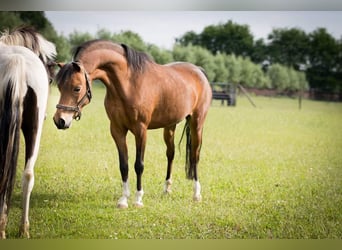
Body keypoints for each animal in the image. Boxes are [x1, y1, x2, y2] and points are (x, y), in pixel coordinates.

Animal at [53, 40, 211, 209]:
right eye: (59, 86)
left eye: (77, 88)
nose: (60, 120)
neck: (129, 84)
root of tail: (199, 71)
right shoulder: (117, 130)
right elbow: (124, 165)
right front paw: (123, 200)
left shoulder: (141, 130)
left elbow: (138, 165)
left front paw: (138, 199)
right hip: (170, 126)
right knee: (171, 154)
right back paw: (167, 189)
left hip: (197, 124)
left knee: (194, 156)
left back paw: (196, 194)